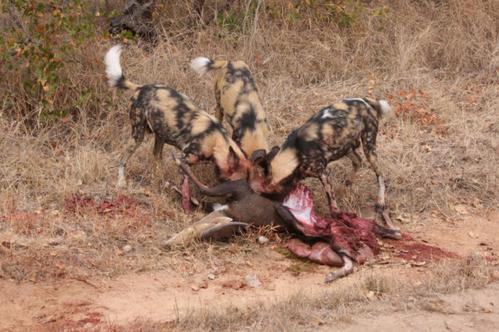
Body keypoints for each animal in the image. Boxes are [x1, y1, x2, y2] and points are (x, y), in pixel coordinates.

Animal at [103, 44, 250, 210]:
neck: (216, 140)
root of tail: (141, 88)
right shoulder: (182, 160)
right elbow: (186, 187)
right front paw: (187, 204)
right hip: (137, 136)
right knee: (123, 158)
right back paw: (121, 182)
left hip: (160, 134)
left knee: (156, 156)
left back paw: (161, 181)